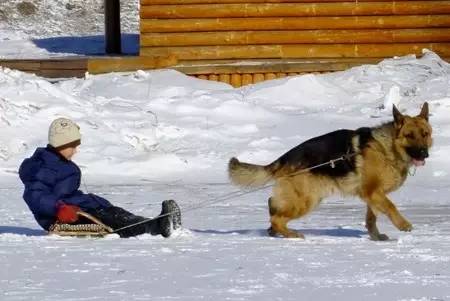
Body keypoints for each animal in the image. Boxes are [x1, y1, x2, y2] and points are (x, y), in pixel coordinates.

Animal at [229, 102, 432, 239]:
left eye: (425, 134)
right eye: (409, 135)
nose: (425, 153)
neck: (386, 148)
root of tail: (284, 158)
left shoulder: (372, 194)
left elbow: (371, 217)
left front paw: (375, 236)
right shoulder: (373, 192)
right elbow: (391, 207)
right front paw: (403, 224)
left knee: (273, 205)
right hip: (306, 201)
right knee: (276, 217)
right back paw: (292, 234)